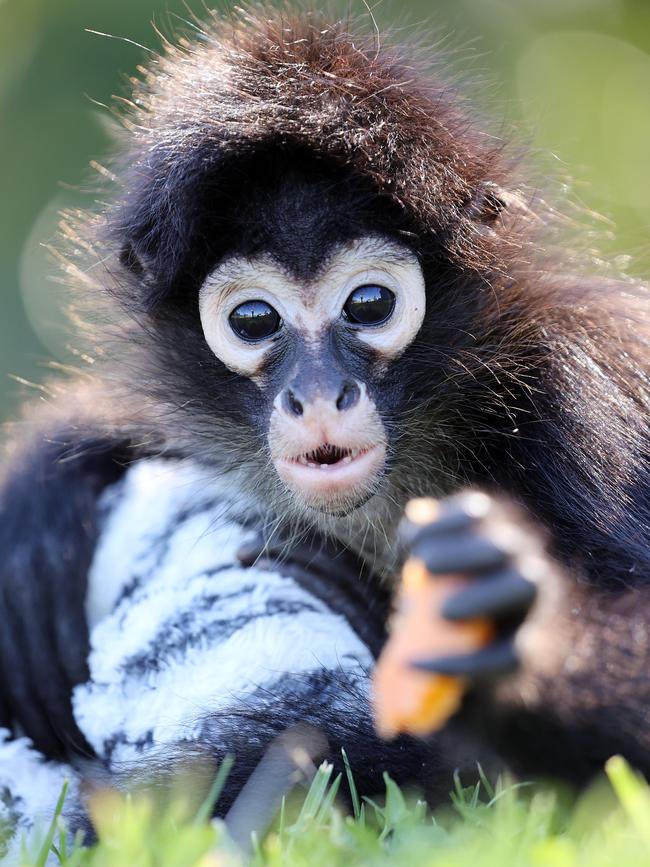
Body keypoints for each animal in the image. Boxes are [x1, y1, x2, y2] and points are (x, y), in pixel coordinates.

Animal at [1, 5, 648, 808]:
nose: (316, 395)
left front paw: (516, 642)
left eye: (369, 304)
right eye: (253, 320)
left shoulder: (580, 401)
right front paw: (43, 484)